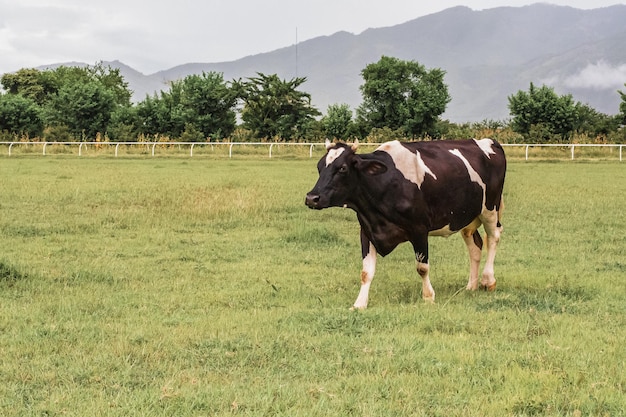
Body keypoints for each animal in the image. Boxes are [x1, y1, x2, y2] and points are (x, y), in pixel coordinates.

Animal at [304, 138, 504, 308]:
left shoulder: (419, 229)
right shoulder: (367, 230)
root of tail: (489, 141)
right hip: (467, 216)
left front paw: (428, 297)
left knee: (493, 237)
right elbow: (366, 272)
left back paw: (488, 280)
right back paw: (471, 286)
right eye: (319, 167)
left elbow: (422, 267)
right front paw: (359, 304)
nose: (312, 198)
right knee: (475, 246)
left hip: (490, 209)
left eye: (343, 168)